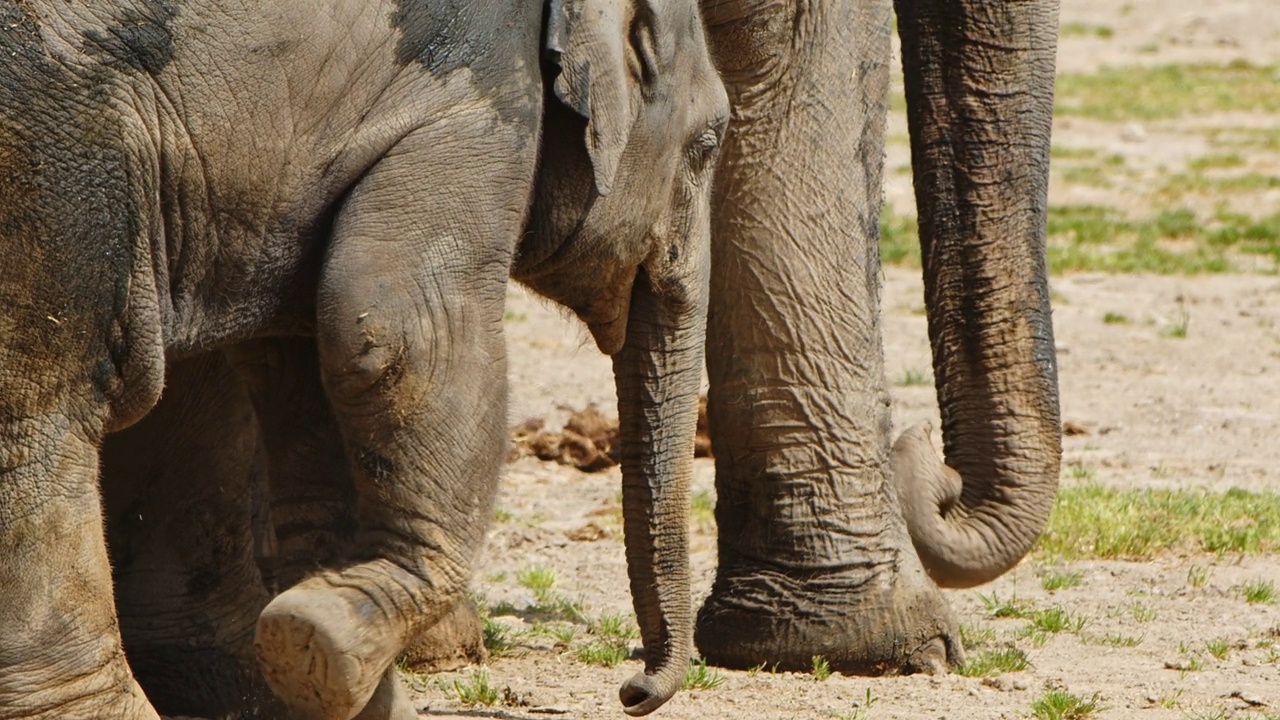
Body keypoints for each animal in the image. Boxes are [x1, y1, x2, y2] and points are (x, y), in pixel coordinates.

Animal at [0, 0, 727, 712]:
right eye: (709, 145)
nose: (634, 690)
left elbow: (308, 379)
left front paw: (320, 650)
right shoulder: (475, 100)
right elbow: (394, 332)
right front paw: (316, 635)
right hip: (53, 163)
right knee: (49, 414)